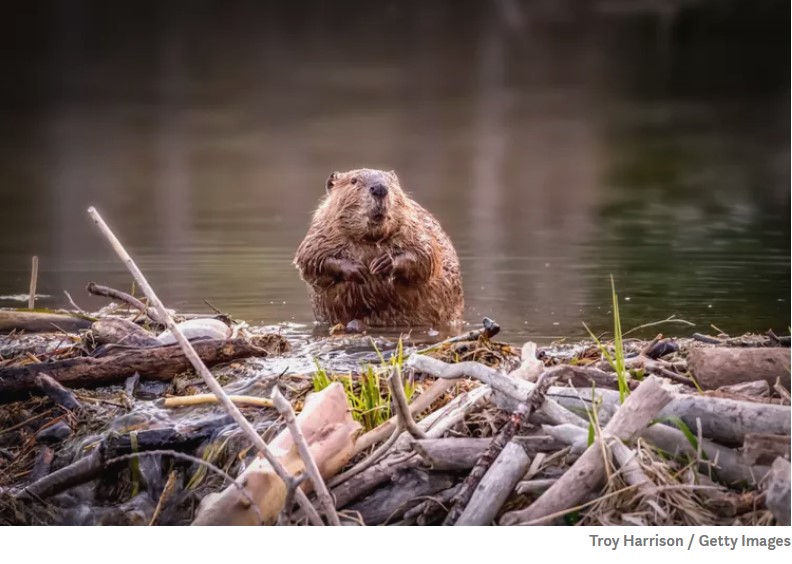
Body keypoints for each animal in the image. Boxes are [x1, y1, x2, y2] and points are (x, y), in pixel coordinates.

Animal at [294, 167, 460, 326]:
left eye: (390, 182)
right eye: (354, 181)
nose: (380, 188)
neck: (370, 239)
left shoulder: (415, 226)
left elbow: (426, 255)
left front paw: (383, 263)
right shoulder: (320, 233)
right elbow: (310, 259)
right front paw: (358, 269)